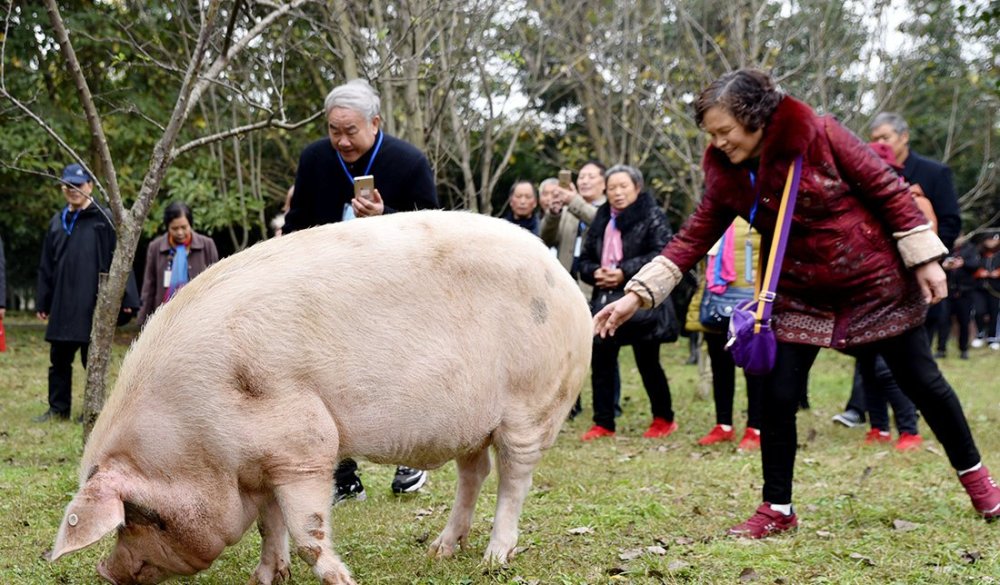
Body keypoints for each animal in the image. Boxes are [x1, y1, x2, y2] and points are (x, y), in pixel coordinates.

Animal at [48, 211, 592, 584]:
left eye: (143, 516)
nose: (105, 571)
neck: (195, 438)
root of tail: (564, 278)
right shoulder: (260, 464)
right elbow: (270, 526)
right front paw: (264, 579)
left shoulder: (303, 445)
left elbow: (307, 529)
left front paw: (342, 579)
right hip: (472, 423)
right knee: (473, 473)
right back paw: (440, 550)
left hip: (531, 405)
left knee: (514, 480)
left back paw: (493, 560)